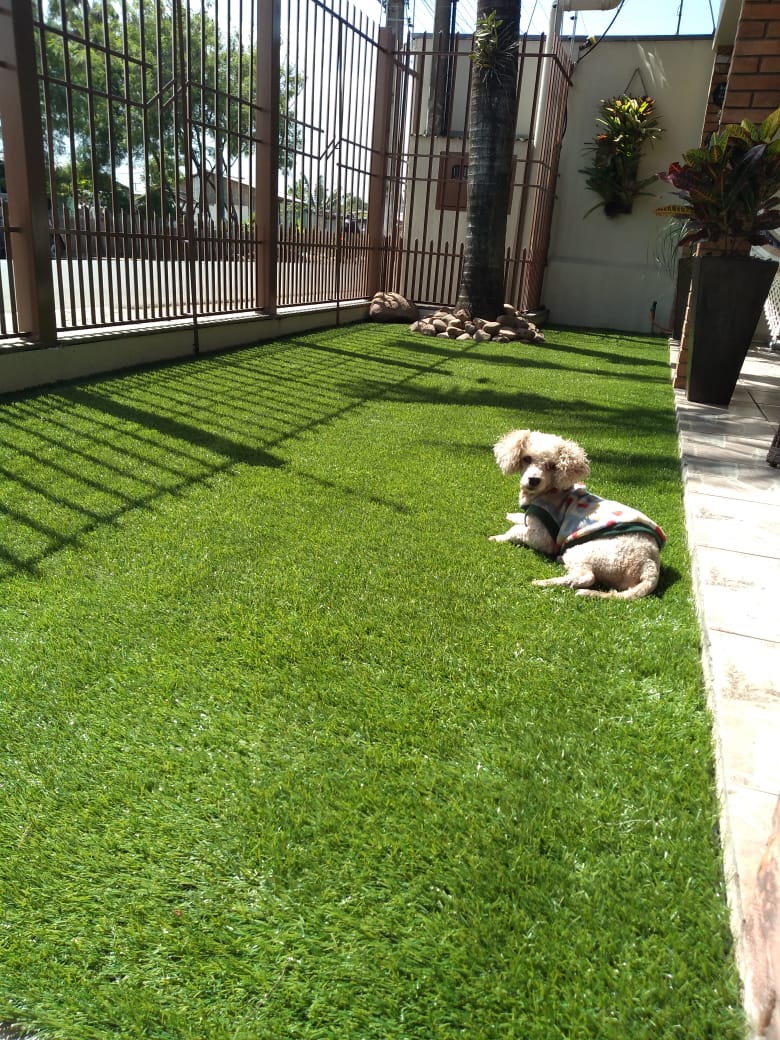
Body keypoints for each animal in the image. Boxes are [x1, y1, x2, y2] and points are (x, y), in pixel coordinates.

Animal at [488, 426, 665, 599]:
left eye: (552, 466)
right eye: (527, 458)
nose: (534, 480)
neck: (548, 493)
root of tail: (650, 565)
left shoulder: (543, 538)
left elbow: (515, 531)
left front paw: (497, 537)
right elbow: (521, 520)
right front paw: (513, 516)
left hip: (582, 550)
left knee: (586, 577)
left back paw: (544, 582)